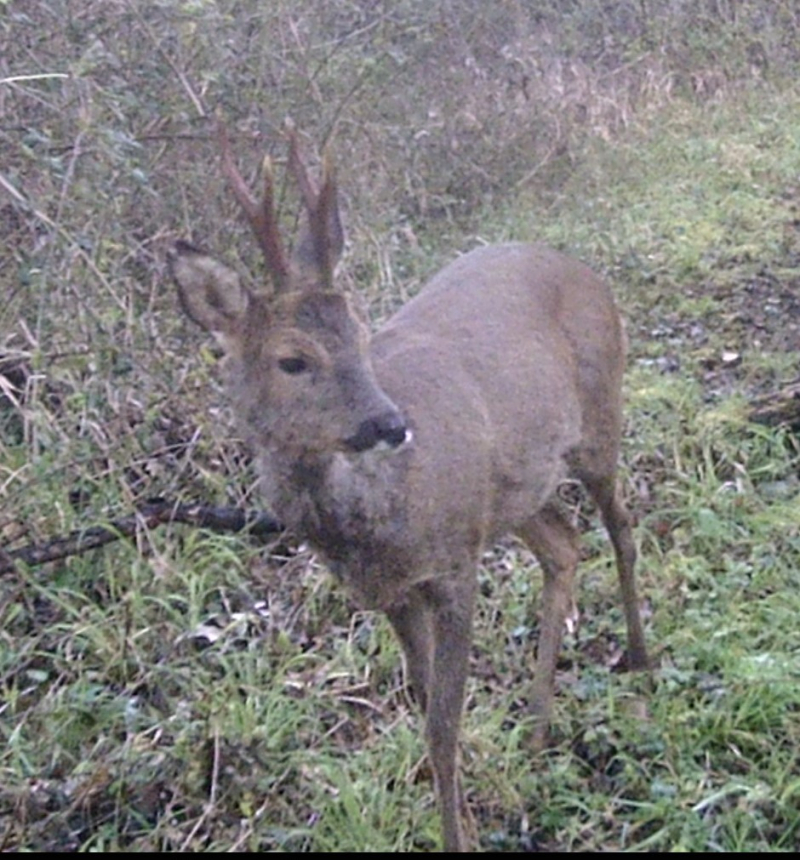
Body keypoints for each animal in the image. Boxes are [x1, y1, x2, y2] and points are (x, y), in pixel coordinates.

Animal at [169, 124, 648, 848]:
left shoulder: (453, 566)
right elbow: (426, 712)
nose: (391, 424)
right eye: (293, 359)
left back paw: (640, 660)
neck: (375, 523)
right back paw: (538, 729)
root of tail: (583, 269)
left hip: (598, 417)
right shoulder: (394, 592)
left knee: (620, 523)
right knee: (564, 547)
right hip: (514, 489)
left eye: (360, 335)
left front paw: (458, 834)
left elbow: (442, 725)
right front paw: (470, 815)